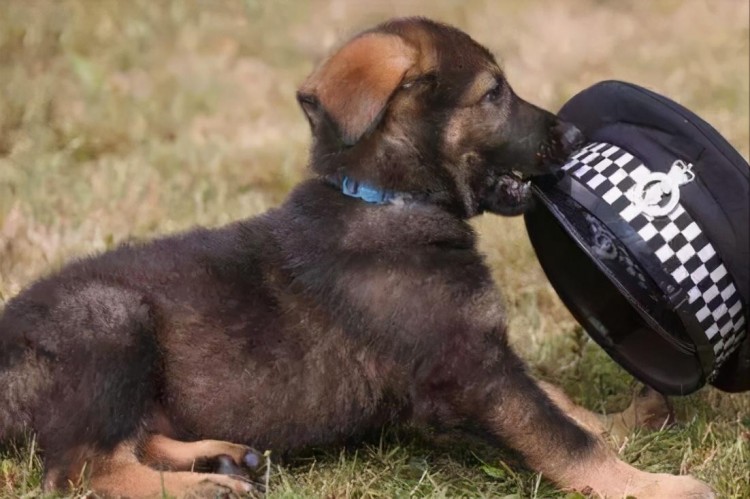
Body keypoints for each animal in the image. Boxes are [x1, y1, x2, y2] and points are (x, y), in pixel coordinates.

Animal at [0, 17, 716, 498]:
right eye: (493, 94)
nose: (571, 134)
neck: (384, 199)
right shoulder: (469, 368)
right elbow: (560, 434)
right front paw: (651, 484)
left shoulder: (486, 351)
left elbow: (560, 401)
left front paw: (624, 421)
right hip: (109, 318)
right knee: (81, 467)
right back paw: (202, 485)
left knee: (130, 437)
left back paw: (226, 457)